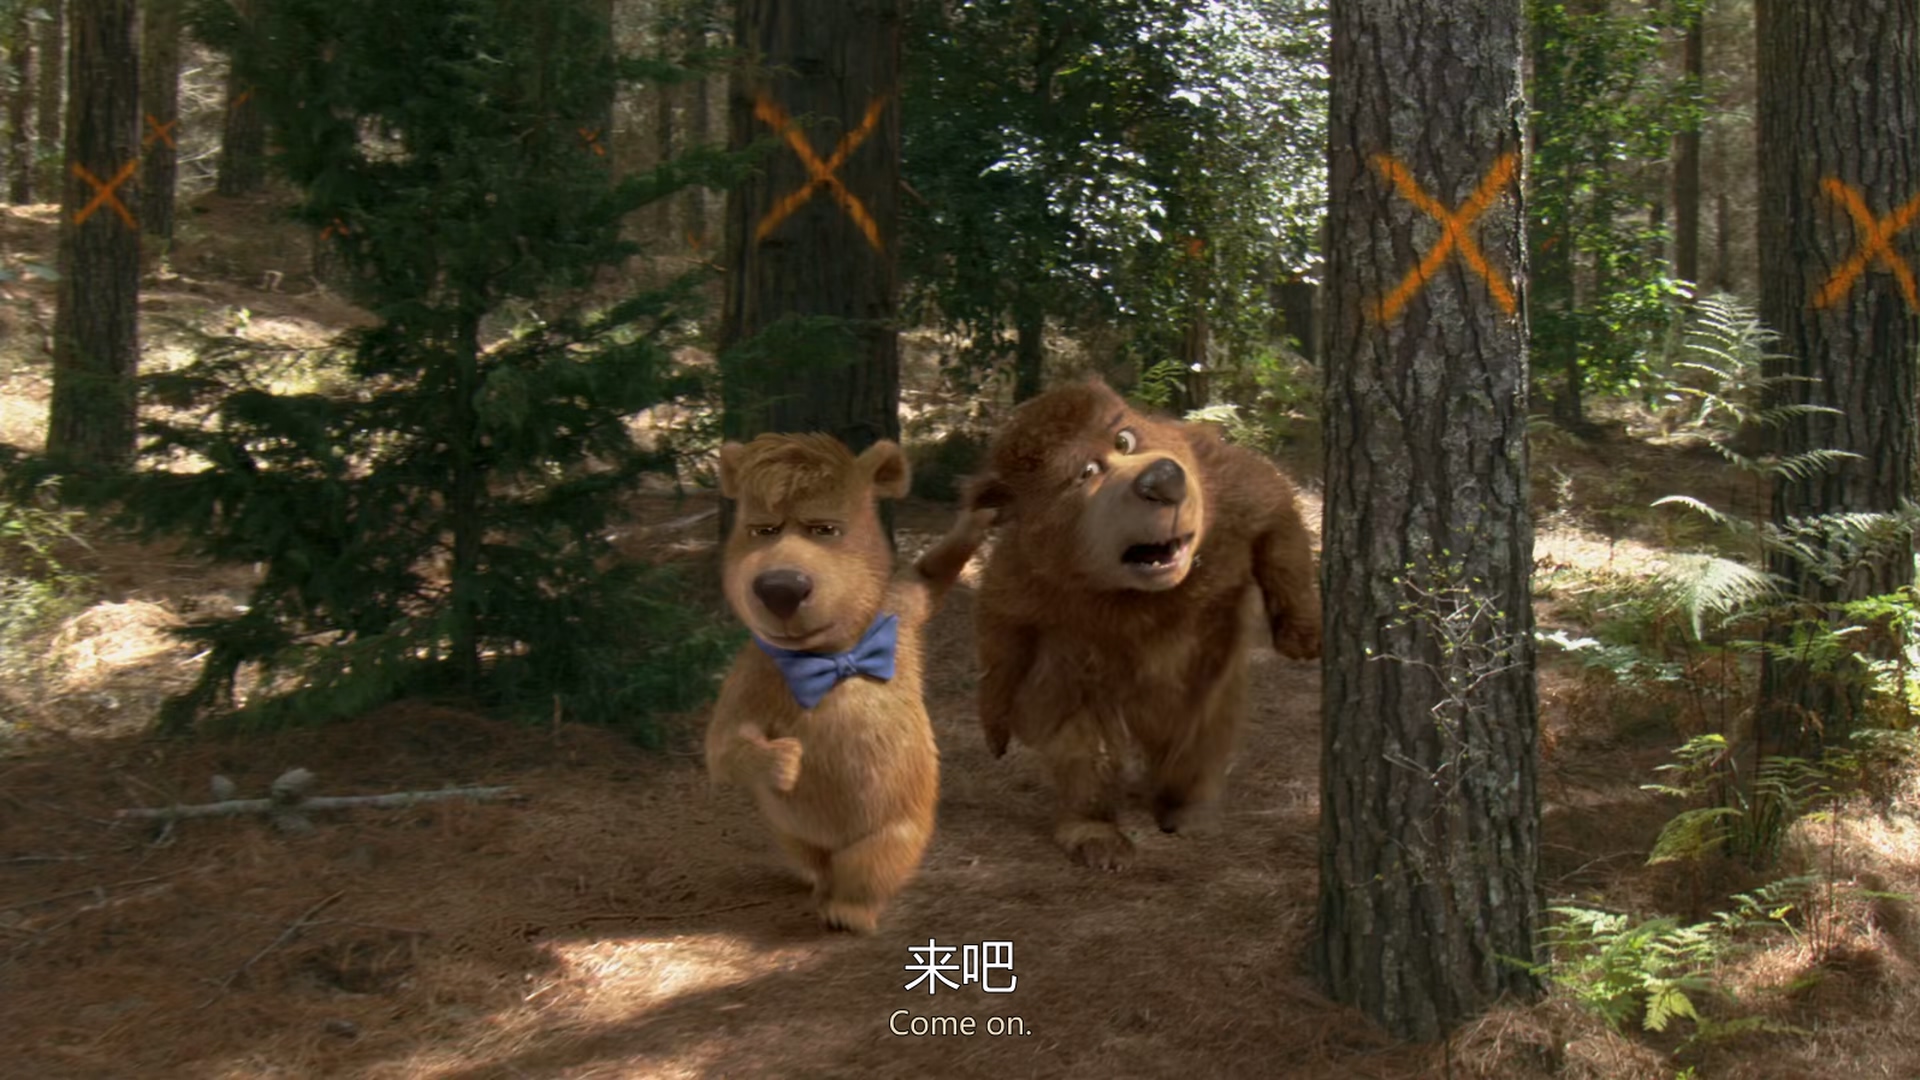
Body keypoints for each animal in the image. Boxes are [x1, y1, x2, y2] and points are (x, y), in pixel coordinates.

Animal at [706, 432, 991, 932]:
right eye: (763, 530)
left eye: (825, 529)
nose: (780, 587)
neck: (837, 655)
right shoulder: (752, 673)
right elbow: (721, 749)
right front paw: (783, 760)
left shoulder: (901, 607)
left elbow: (929, 576)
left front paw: (977, 517)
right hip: (789, 829)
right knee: (812, 857)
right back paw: (825, 893)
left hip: (894, 827)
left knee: (869, 863)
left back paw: (847, 911)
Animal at [964, 377, 1322, 870]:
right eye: (1085, 472)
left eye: (1124, 440)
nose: (1163, 478)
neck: (1150, 595)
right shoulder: (1019, 573)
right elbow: (1000, 641)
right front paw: (995, 733)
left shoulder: (1228, 487)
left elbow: (1278, 517)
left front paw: (1302, 636)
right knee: (1082, 748)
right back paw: (1096, 835)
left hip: (1206, 700)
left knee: (1200, 743)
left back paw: (1189, 813)